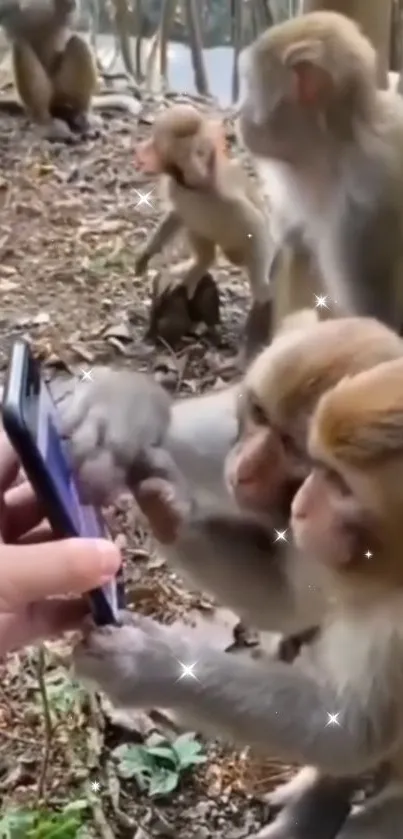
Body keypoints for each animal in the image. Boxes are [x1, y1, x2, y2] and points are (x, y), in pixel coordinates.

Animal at [134, 102, 276, 364]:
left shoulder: (233, 201)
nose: (142, 149)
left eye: (200, 152)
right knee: (197, 229)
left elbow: (258, 231)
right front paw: (146, 254)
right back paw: (198, 265)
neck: (198, 186)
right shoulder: (177, 188)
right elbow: (178, 215)